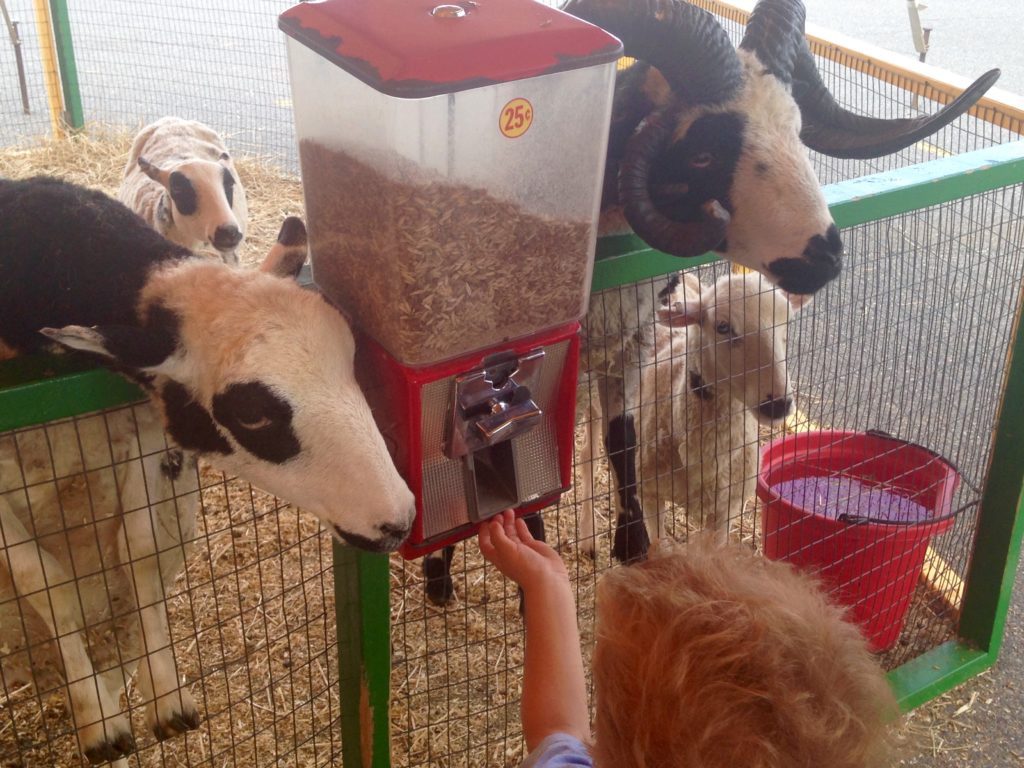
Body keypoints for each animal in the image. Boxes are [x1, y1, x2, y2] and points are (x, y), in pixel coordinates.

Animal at [581, 274, 794, 557]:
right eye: (723, 326)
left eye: (787, 325)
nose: (779, 403)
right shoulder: (650, 493)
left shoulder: (727, 507)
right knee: (588, 457)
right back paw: (587, 536)